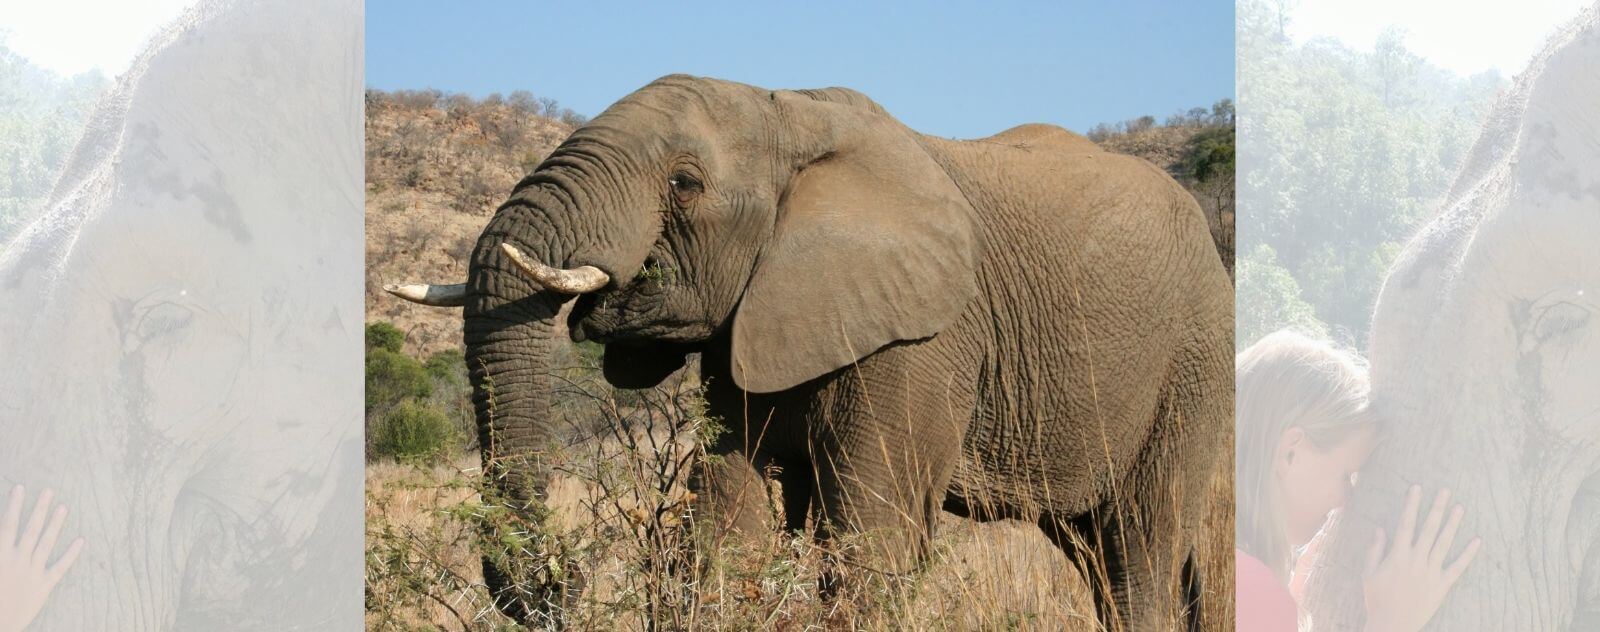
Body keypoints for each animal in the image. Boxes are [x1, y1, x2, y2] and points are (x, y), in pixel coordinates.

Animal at [390, 73, 1235, 627]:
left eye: (685, 184)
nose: (563, 583)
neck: (790, 116)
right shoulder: (752, 321)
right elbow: (728, 519)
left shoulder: (923, 337)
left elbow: (871, 539)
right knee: (1101, 551)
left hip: (1193, 361)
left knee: (1140, 548)